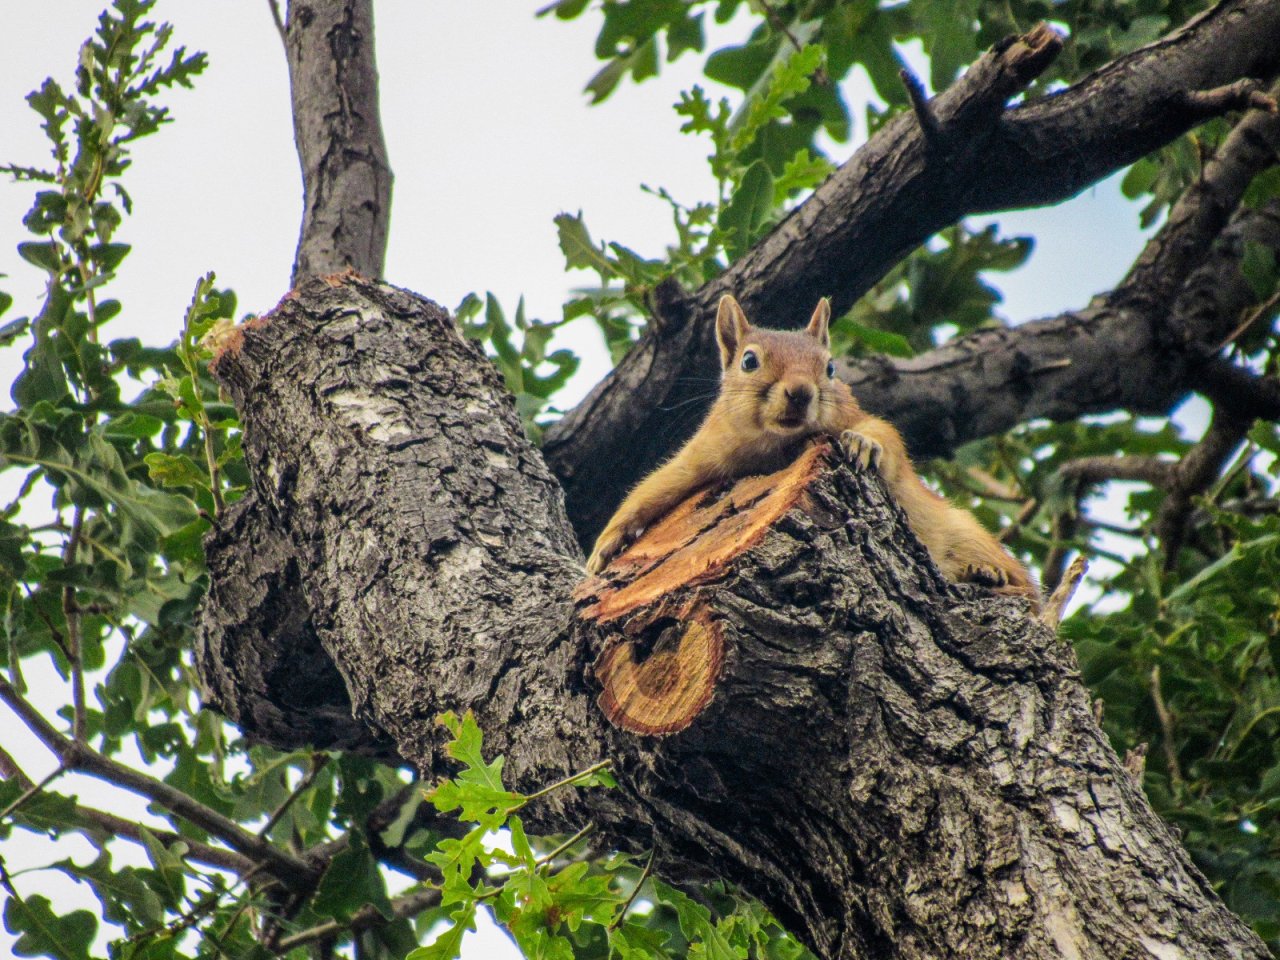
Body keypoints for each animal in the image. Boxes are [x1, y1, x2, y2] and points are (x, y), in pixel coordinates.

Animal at [586, 295, 1039, 609]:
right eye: (748, 361)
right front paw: (604, 546)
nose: (801, 392)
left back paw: (988, 572)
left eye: (831, 367)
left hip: (965, 531)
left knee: (1029, 594)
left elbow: (886, 437)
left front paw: (864, 443)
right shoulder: (705, 453)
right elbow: (656, 487)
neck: (775, 446)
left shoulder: (853, 418)